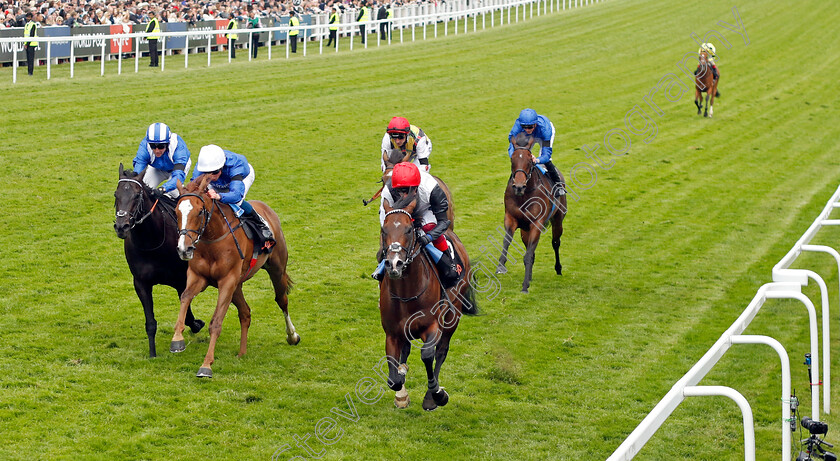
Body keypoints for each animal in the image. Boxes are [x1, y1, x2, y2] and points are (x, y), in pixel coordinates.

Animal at [113, 164, 205, 358]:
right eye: (116, 194)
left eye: (137, 195)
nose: (121, 227)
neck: (151, 241)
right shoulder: (141, 283)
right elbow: (150, 322)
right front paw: (152, 353)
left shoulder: (180, 279)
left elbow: (186, 313)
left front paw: (196, 324)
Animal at [376, 163, 476, 410]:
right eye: (384, 230)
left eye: (408, 230)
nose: (394, 263)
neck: (406, 293)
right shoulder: (392, 333)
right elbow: (393, 376)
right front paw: (401, 390)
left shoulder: (433, 326)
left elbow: (428, 355)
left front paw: (436, 394)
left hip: (453, 316)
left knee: (442, 351)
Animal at [496, 131, 568, 292]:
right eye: (512, 159)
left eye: (529, 160)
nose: (518, 186)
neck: (524, 195)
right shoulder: (511, 218)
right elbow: (506, 241)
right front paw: (501, 266)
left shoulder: (537, 223)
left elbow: (528, 255)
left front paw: (524, 286)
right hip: (525, 230)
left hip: (558, 219)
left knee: (555, 242)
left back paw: (558, 269)